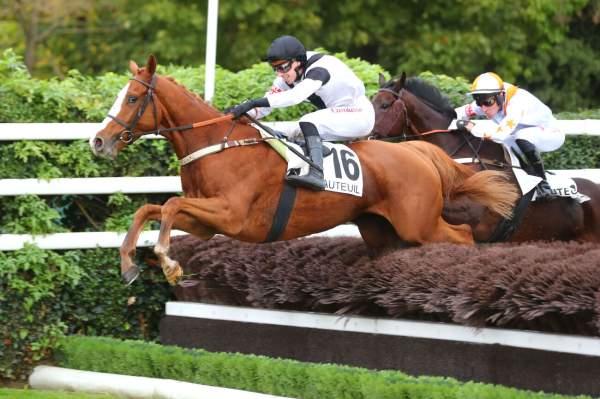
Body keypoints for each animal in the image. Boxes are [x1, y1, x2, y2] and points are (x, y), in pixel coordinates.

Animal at [91, 56, 516, 286]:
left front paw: (168, 262)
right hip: (385, 231)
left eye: (133, 98)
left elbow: (170, 205)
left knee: (463, 236)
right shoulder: (207, 221)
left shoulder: (230, 214)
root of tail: (419, 151)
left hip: (419, 225)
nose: (99, 141)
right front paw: (129, 265)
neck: (217, 143)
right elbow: (151, 209)